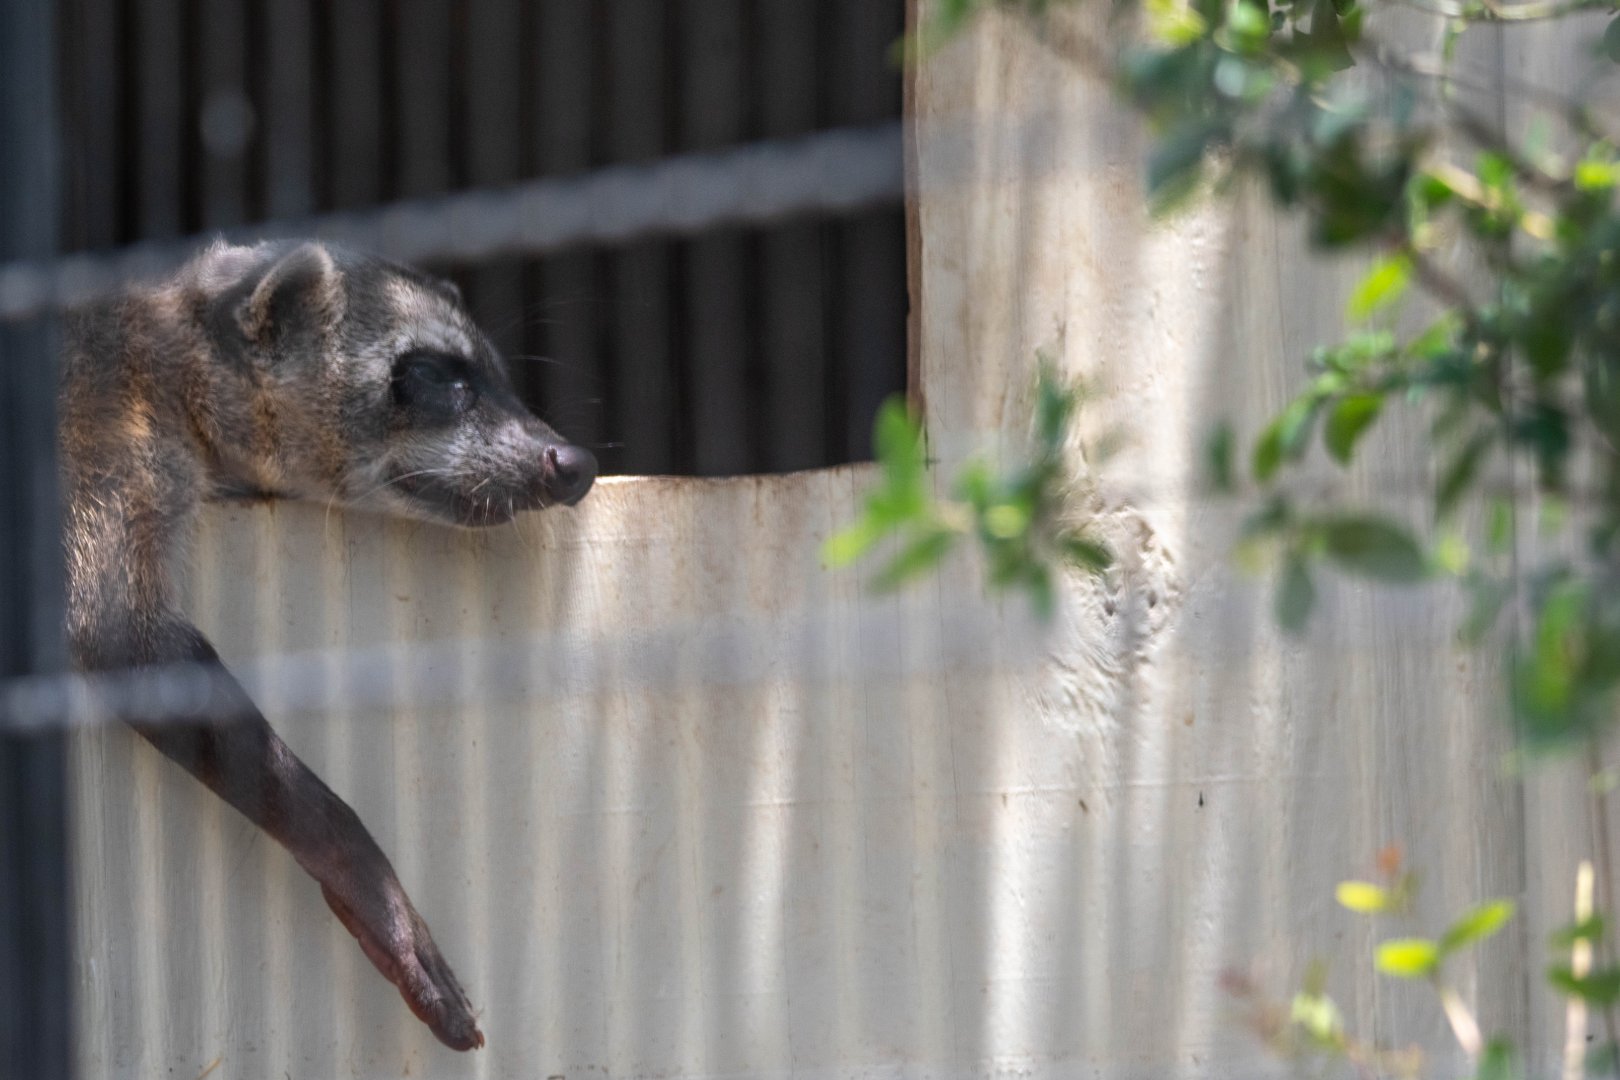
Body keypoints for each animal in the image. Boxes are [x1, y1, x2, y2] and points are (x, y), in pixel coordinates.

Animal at [60, 239, 597, 1051]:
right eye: (436, 375)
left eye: (500, 376)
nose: (572, 463)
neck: (171, 355)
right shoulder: (104, 437)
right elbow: (117, 628)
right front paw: (366, 876)